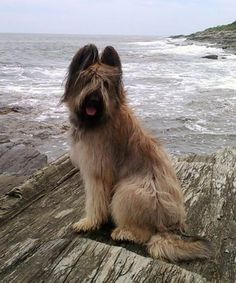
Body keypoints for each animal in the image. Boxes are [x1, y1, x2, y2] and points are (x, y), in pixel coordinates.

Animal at [61, 44, 211, 264]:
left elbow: (95, 201)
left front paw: (89, 222)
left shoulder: (98, 171)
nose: (94, 100)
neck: (101, 119)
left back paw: (125, 232)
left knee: (144, 234)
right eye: (87, 80)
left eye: (105, 84)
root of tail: (168, 227)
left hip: (131, 191)